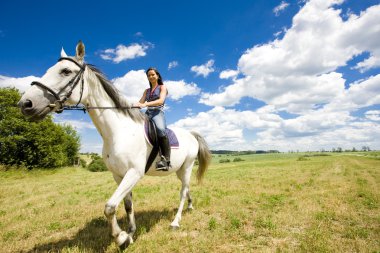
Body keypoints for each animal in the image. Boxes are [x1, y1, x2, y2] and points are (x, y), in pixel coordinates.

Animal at [17, 40, 212, 248]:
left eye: (66, 71)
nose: (25, 104)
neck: (118, 132)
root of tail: (191, 134)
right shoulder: (118, 175)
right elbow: (127, 206)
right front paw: (130, 233)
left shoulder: (133, 173)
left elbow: (109, 207)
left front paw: (120, 238)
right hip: (178, 170)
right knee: (187, 188)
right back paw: (190, 206)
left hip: (187, 166)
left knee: (182, 191)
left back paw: (175, 221)